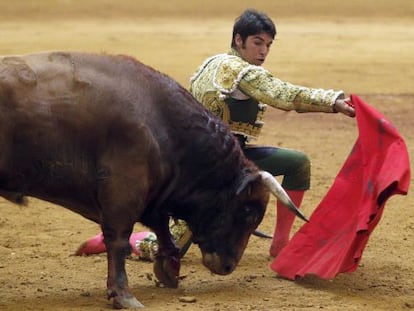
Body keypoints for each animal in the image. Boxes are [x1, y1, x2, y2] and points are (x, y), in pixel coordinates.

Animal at [0, 51, 306, 310]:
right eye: (248, 211)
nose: (228, 266)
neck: (164, 123)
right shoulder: (124, 190)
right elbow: (119, 240)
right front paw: (123, 296)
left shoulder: (153, 195)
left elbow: (161, 226)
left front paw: (168, 268)